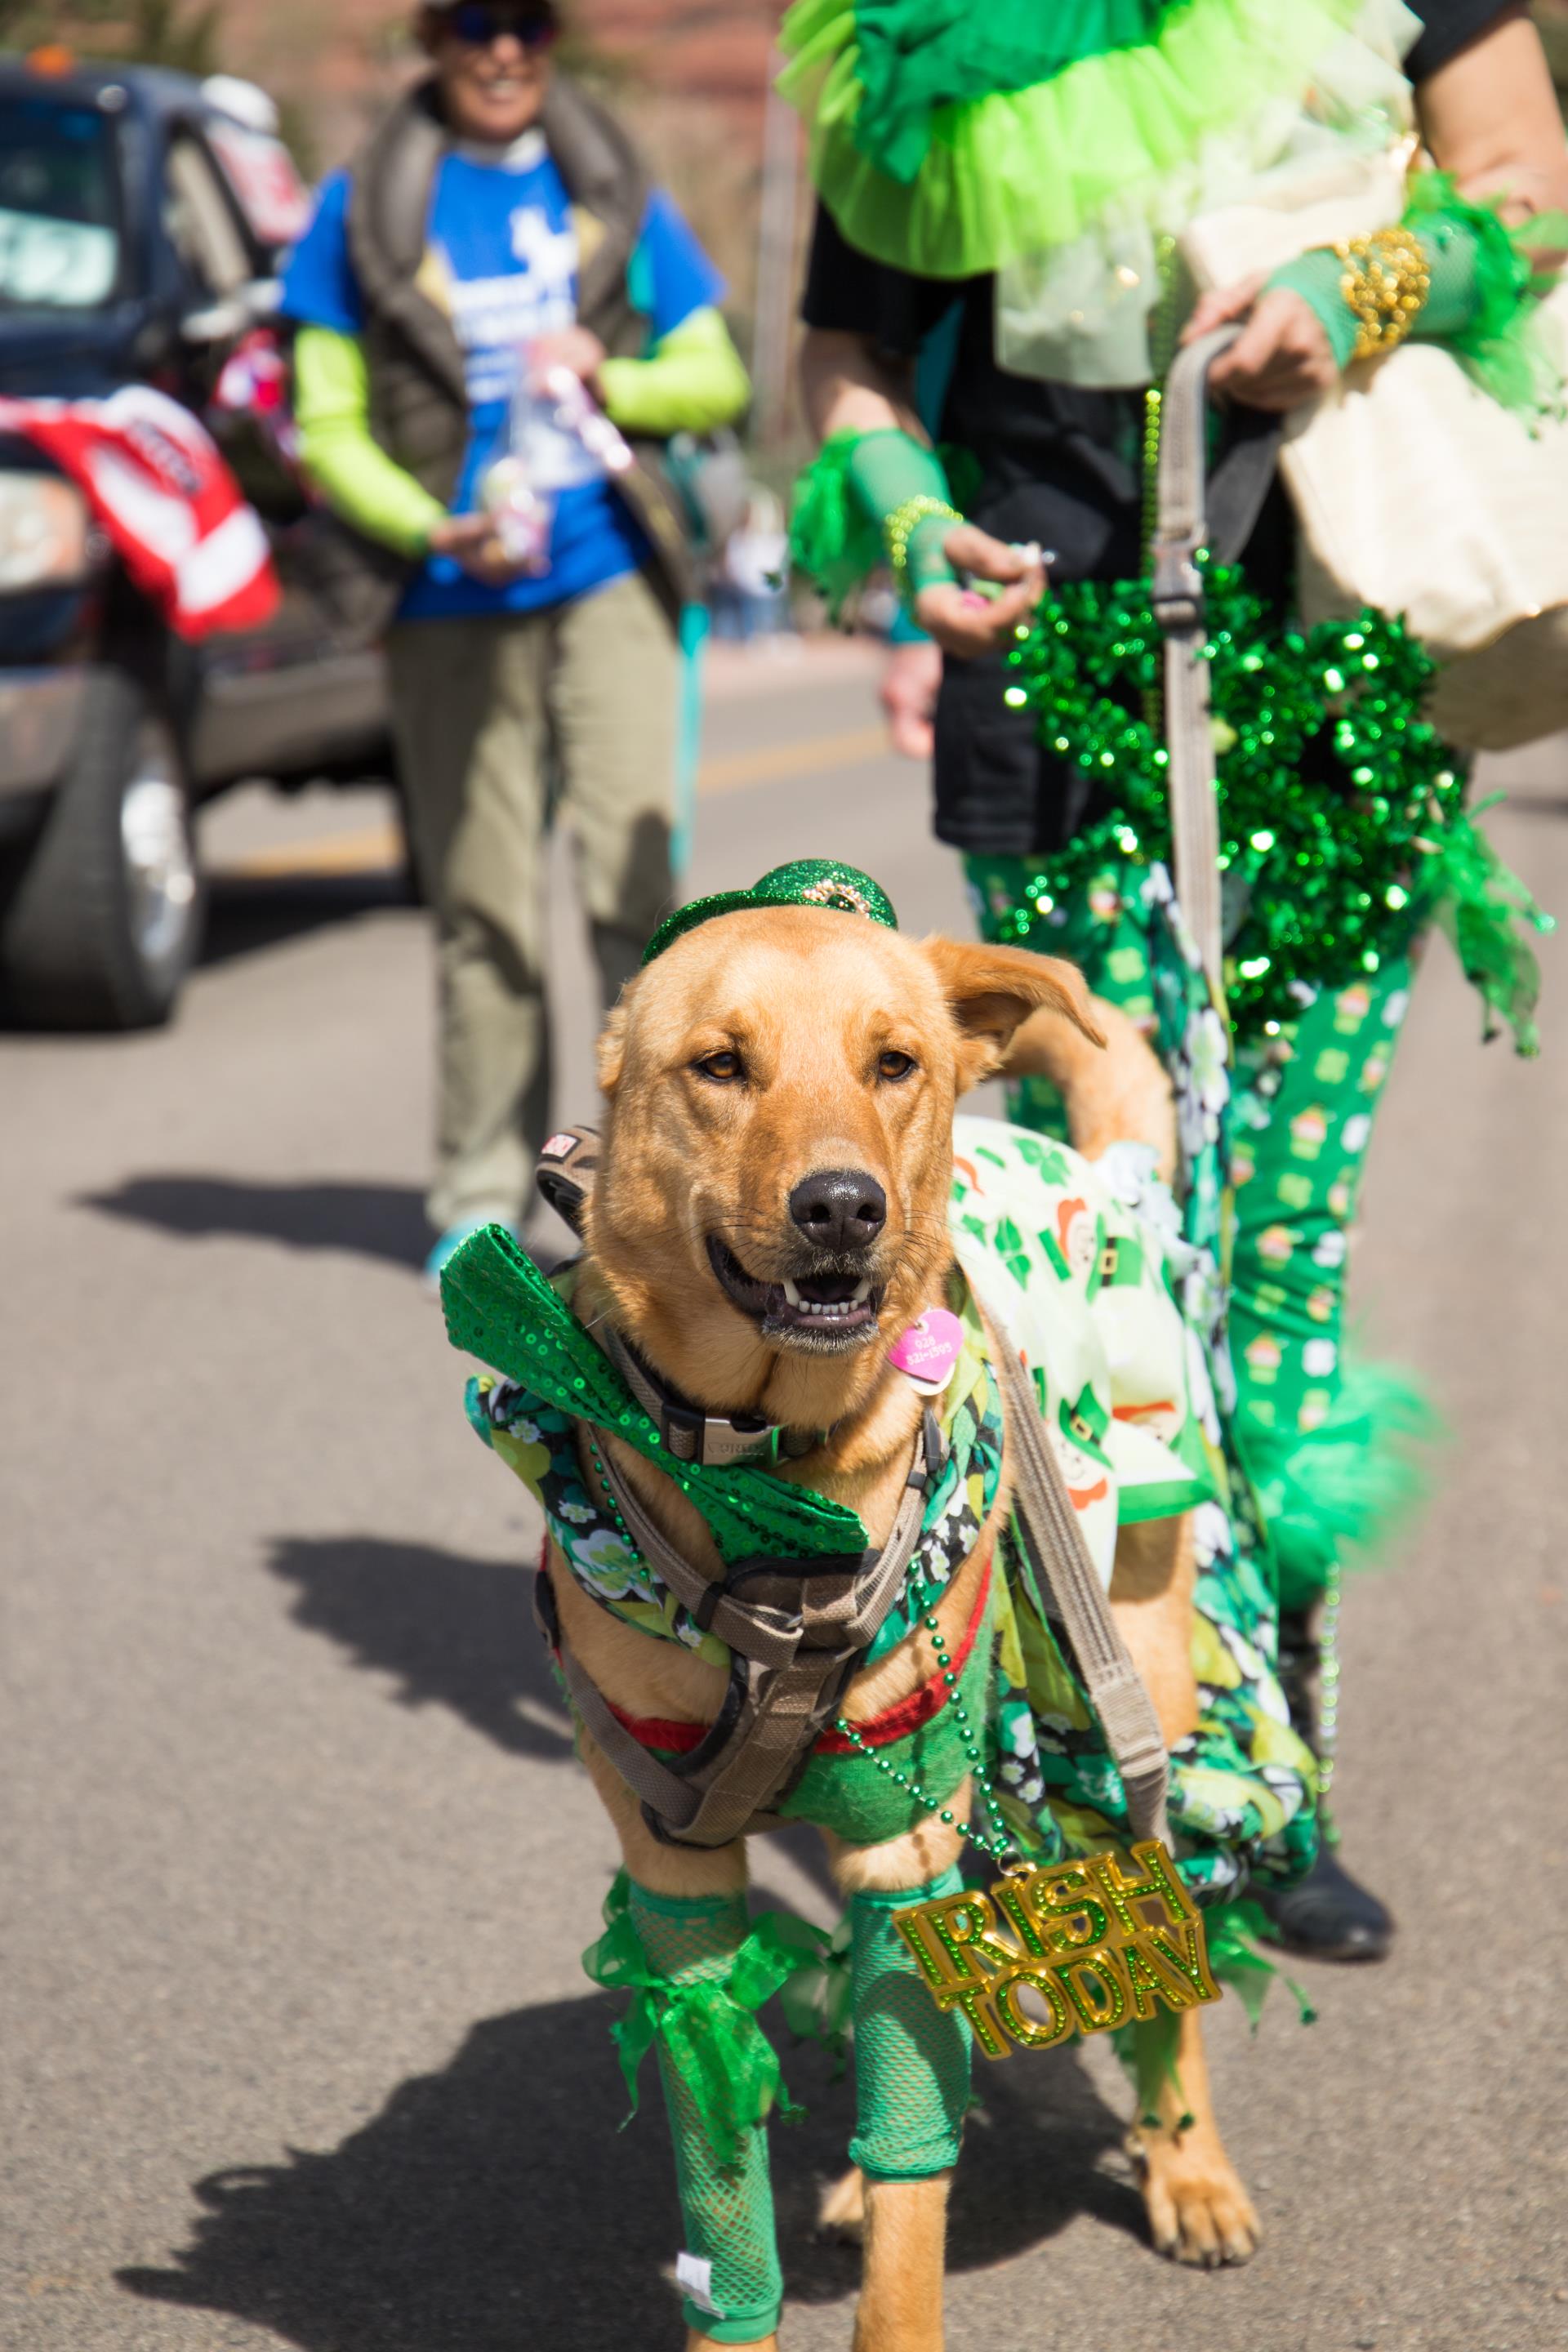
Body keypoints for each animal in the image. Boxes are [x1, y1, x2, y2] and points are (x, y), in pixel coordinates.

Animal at [555, 907, 1259, 2342]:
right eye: (720, 1065)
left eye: (894, 1063)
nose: (841, 1206)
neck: (776, 1484)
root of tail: (1089, 1174)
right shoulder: (679, 1891)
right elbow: (726, 2177)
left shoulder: (900, 1838)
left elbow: (910, 2208)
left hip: (1132, 1683)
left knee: (1162, 1905)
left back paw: (1189, 2165)